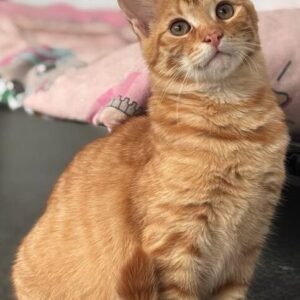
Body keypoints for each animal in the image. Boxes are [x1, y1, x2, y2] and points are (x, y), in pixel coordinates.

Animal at [12, 1, 290, 298]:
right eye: (179, 28)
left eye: (224, 10)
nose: (213, 35)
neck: (235, 128)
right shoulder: (175, 250)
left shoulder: (246, 247)